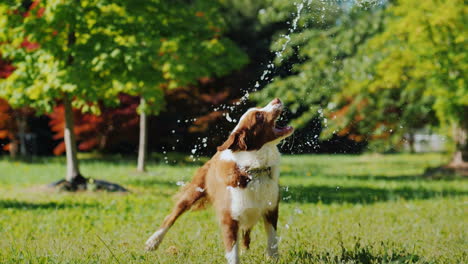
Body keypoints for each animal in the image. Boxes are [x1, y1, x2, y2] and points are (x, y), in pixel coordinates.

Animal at [144, 98, 294, 264]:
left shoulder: (270, 208)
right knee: (171, 217)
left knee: (247, 233)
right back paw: (153, 242)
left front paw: (272, 258)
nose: (277, 99)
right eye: (259, 115)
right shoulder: (229, 217)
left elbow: (272, 240)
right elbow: (233, 252)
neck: (254, 170)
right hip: (193, 192)